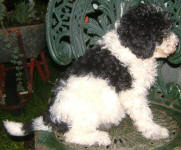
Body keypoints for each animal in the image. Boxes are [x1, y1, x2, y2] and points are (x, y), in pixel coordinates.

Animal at [4, 3, 180, 146]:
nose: (177, 43)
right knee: (73, 135)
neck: (128, 46)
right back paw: (99, 137)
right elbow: (144, 113)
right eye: (162, 31)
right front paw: (155, 131)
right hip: (86, 114)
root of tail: (51, 119)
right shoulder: (132, 92)